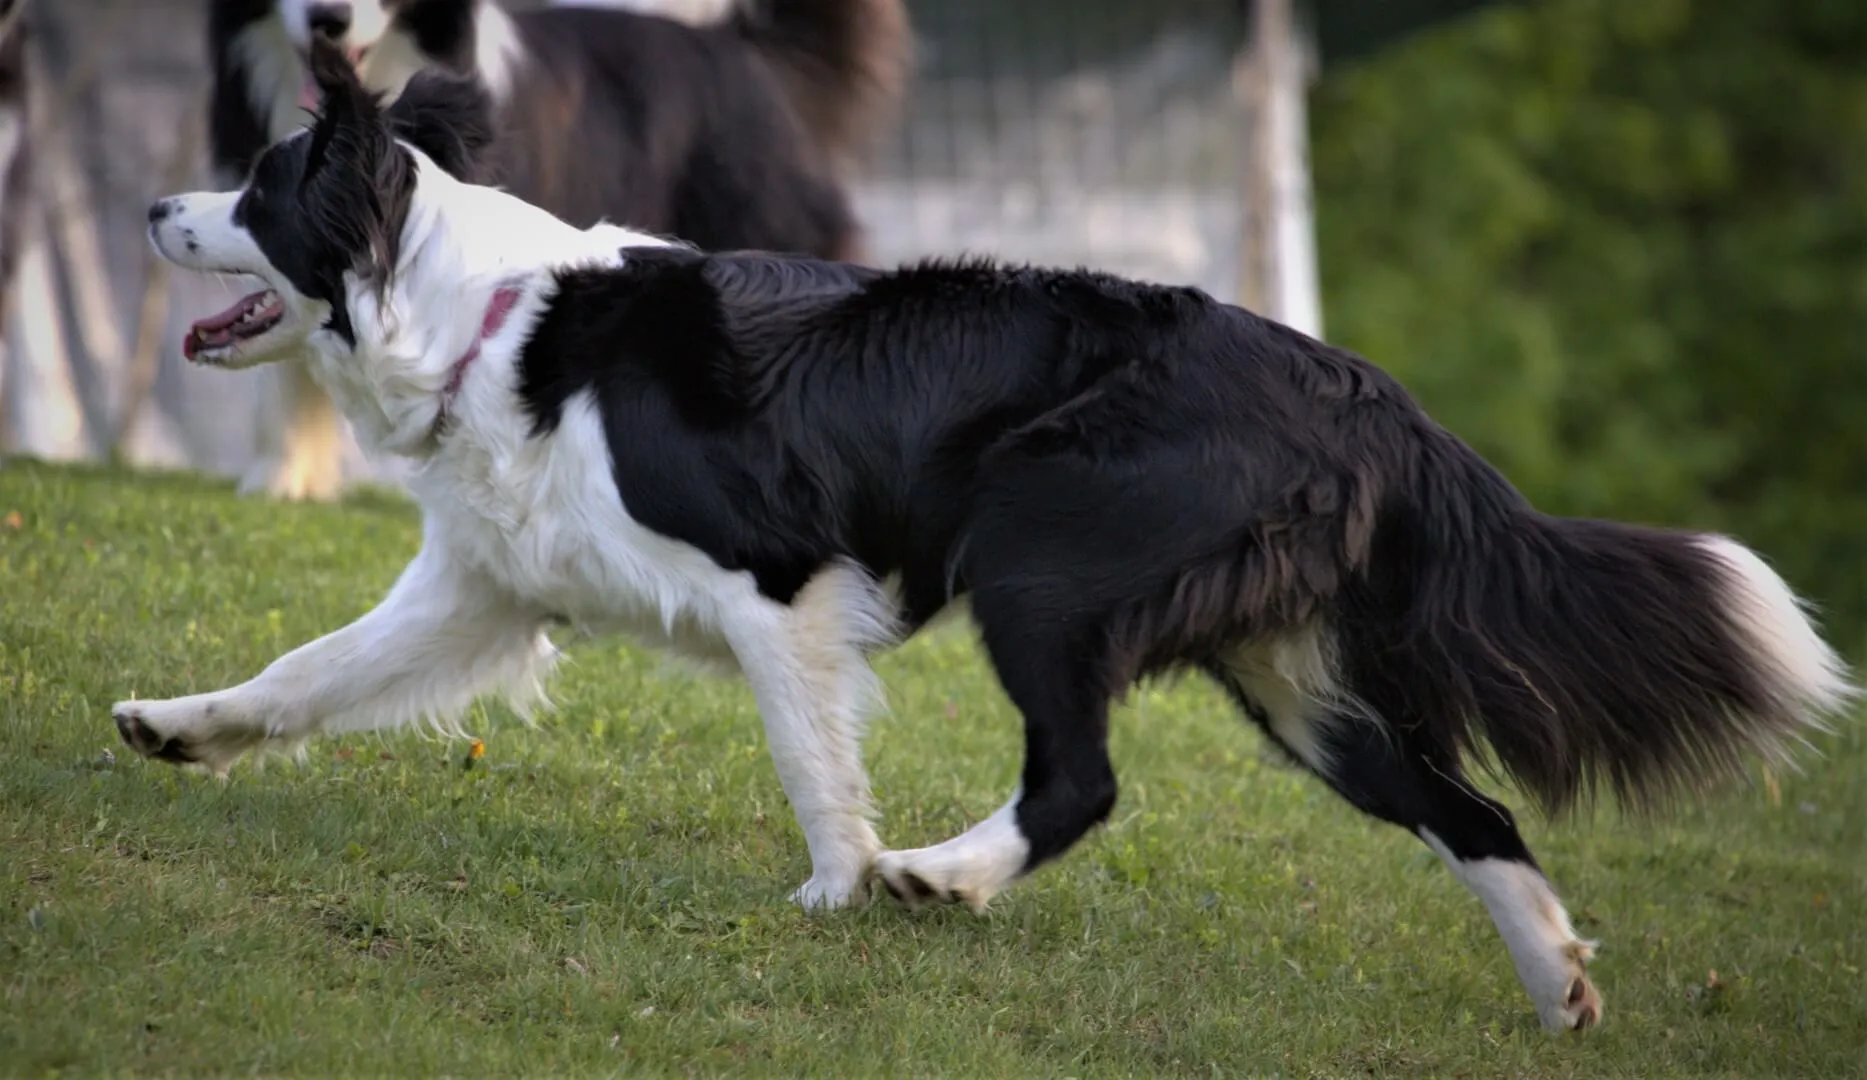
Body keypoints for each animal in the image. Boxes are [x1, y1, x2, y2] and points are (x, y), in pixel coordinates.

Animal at [127, 46, 1852, 1031]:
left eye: (259, 186)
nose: (149, 206)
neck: (485, 313)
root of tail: (1364, 392)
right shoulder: (484, 586)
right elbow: (305, 671)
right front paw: (172, 727)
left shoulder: (776, 581)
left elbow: (809, 755)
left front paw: (837, 889)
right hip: (1293, 679)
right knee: (1465, 806)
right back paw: (1556, 988)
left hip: (1040, 562)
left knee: (1081, 782)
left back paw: (937, 881)